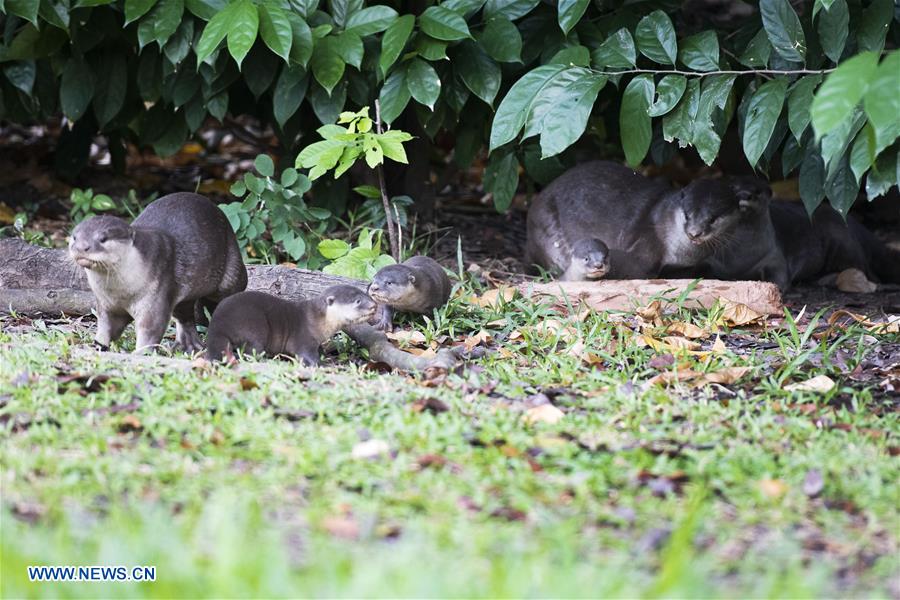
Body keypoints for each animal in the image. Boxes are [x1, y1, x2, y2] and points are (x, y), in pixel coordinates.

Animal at [68, 192, 247, 353]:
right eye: (74, 237)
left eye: (103, 239)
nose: (82, 247)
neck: (122, 292)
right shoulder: (107, 304)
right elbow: (107, 325)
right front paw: (98, 345)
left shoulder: (156, 293)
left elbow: (151, 327)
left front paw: (141, 353)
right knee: (185, 313)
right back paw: (187, 346)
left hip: (232, 273)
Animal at [205, 286, 377, 364]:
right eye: (358, 301)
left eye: (366, 294)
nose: (374, 305)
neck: (317, 320)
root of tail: (218, 324)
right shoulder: (304, 338)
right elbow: (305, 353)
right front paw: (320, 363)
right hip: (254, 326)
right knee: (251, 350)